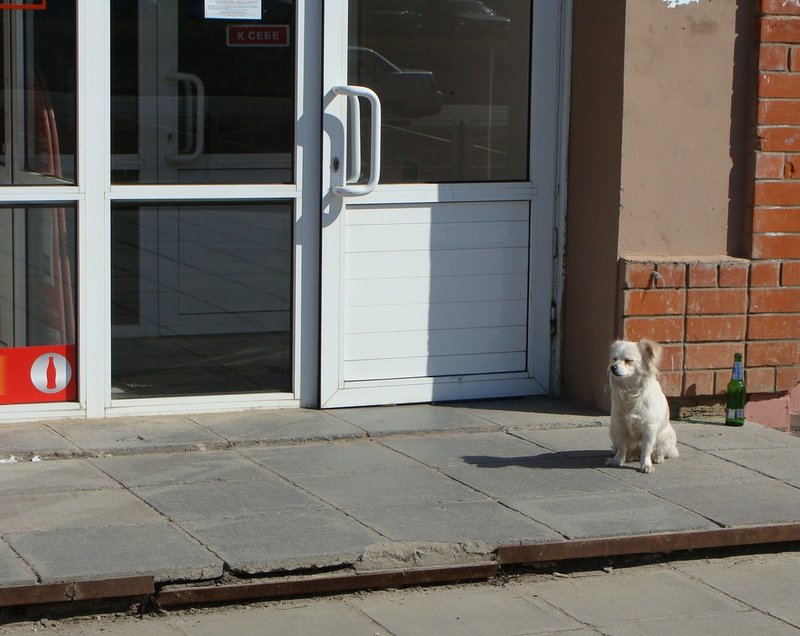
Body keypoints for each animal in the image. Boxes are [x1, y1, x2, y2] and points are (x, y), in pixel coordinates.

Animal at [608, 338, 680, 472]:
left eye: (628, 361)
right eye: (614, 359)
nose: (612, 367)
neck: (631, 390)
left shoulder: (649, 428)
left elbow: (646, 450)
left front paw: (646, 465)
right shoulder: (619, 426)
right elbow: (622, 447)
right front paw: (617, 460)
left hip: (666, 436)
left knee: (658, 450)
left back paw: (657, 458)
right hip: (612, 432)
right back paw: (629, 456)